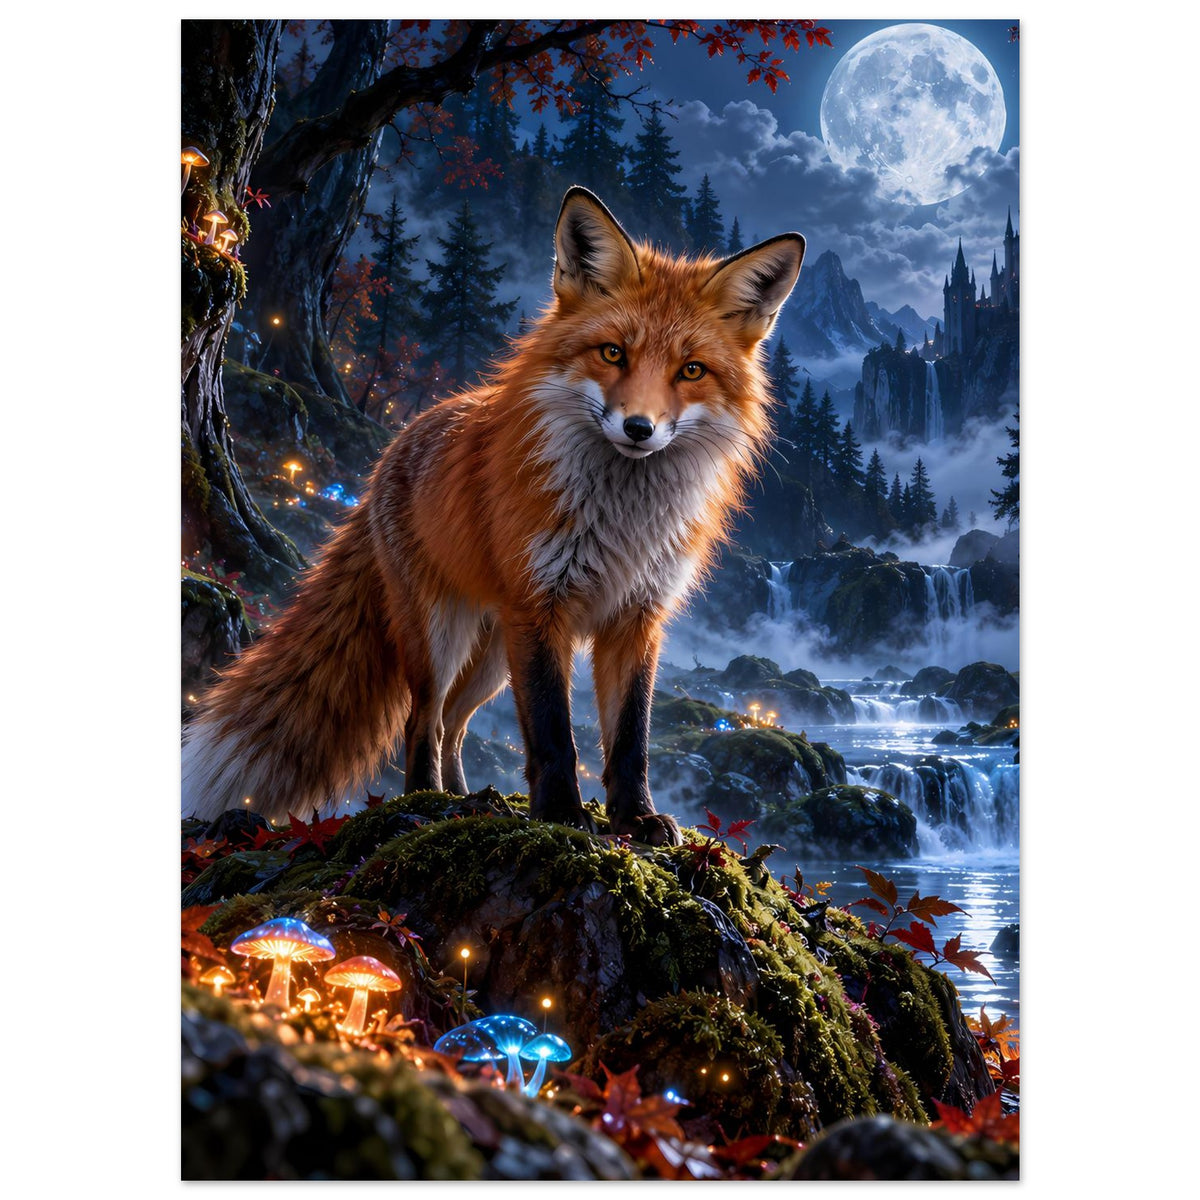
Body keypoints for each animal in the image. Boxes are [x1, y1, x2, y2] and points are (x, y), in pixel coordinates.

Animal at [182, 187, 805, 845]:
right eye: (613, 353)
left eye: (691, 370)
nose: (639, 428)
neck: (624, 522)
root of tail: (395, 446)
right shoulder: (542, 607)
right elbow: (554, 736)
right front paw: (561, 815)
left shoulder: (636, 619)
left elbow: (630, 739)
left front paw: (635, 818)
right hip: (442, 635)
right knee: (424, 720)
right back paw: (428, 799)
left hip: (493, 655)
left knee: (455, 722)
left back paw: (470, 799)